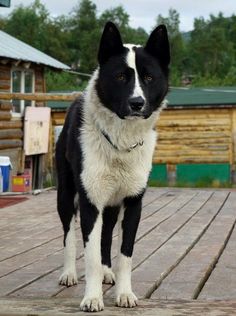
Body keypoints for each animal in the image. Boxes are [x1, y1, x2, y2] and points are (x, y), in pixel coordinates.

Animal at [55, 21, 170, 312]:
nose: (137, 103)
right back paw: (69, 273)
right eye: (120, 77)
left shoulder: (132, 203)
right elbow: (91, 255)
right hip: (65, 195)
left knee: (106, 236)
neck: (120, 142)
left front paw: (124, 293)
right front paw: (92, 298)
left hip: (111, 205)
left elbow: (124, 254)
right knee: (69, 235)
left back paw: (108, 273)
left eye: (149, 78)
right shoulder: (90, 202)